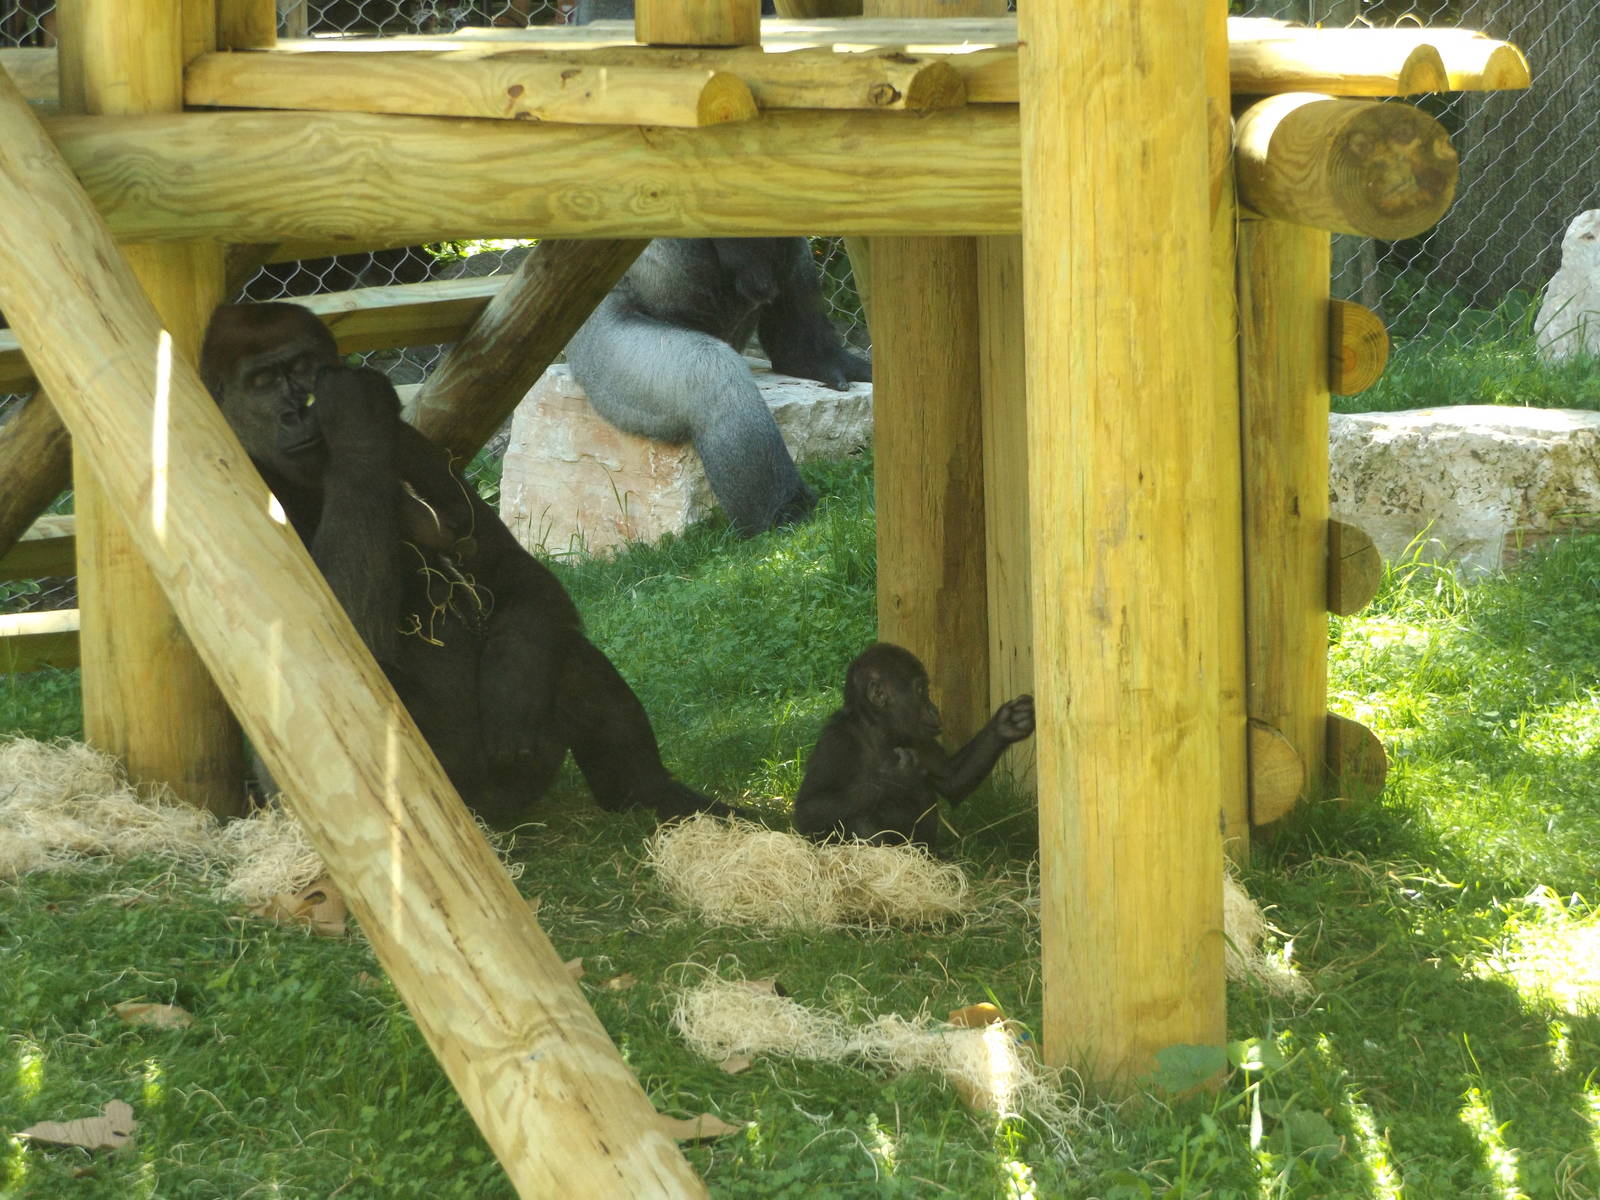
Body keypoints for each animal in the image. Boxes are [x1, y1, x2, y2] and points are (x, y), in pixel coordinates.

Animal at [200, 300, 721, 824]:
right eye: (262, 380)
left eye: (304, 365)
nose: (294, 411)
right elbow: (324, 653)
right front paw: (352, 417)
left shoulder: (414, 443)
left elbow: (515, 577)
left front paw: (511, 688)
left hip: (520, 785)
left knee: (558, 641)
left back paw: (650, 792)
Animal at [792, 643, 1035, 849]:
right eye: (920, 691)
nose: (933, 709)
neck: (878, 729)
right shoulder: (837, 742)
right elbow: (809, 808)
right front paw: (894, 779)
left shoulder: (919, 738)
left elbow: (952, 778)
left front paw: (1005, 725)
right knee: (858, 819)